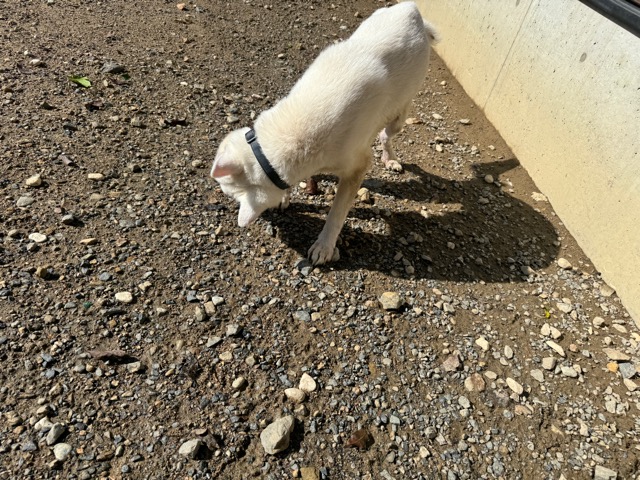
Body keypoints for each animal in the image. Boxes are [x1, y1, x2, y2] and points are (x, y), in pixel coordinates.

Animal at [211, 2, 437, 265]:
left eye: (228, 192)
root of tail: (412, 9)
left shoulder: (357, 166)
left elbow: (336, 214)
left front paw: (325, 246)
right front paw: (286, 197)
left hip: (399, 115)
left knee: (386, 134)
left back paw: (389, 158)